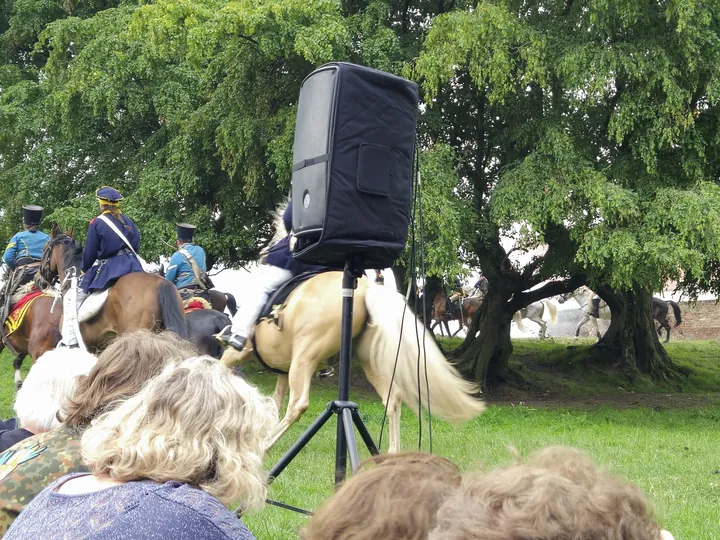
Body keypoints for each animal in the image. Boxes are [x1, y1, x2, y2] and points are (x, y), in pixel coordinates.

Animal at [222, 272, 486, 454]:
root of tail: (366, 290)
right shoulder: (282, 371)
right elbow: (274, 403)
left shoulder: (238, 354)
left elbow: (220, 372)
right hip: (367, 361)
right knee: (393, 398)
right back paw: (392, 451)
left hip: (304, 358)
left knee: (298, 404)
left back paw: (265, 446)